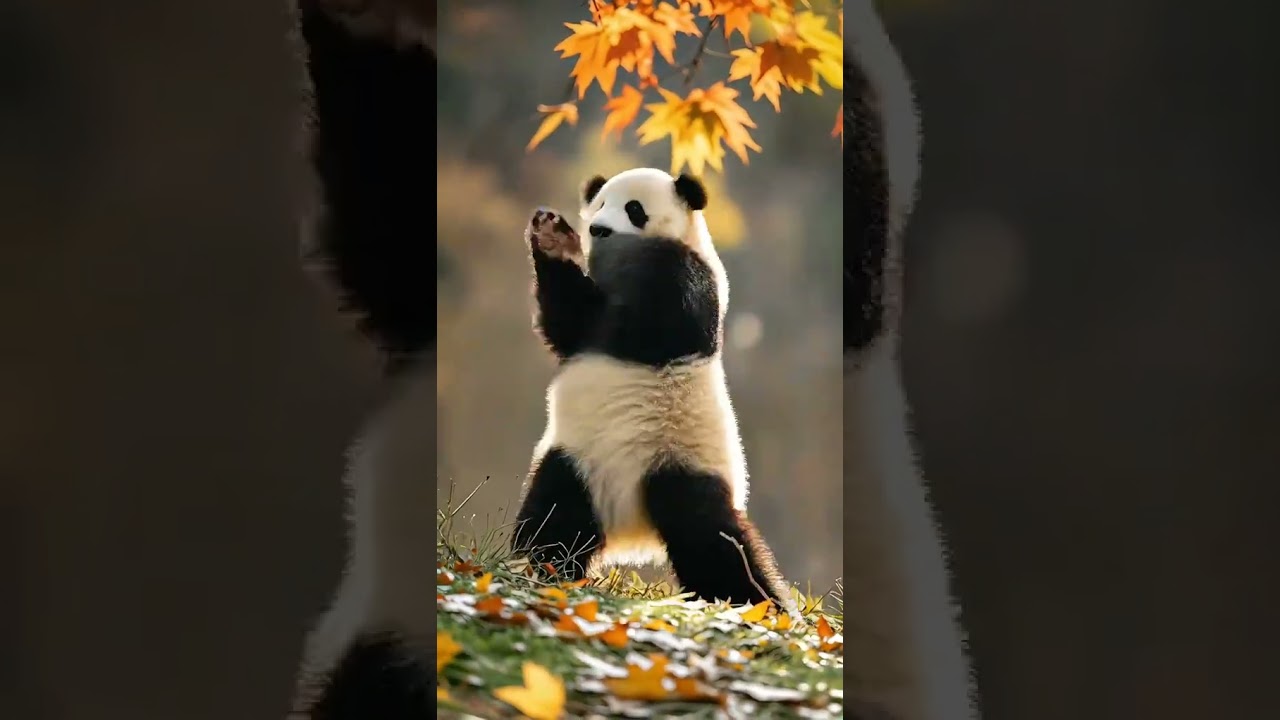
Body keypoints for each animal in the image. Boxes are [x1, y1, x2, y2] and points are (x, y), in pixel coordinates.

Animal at [510, 168, 791, 609]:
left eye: (634, 209)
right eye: (600, 204)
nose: (599, 229)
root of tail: (629, 525)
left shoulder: (688, 281)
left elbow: (642, 325)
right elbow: (569, 325)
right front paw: (552, 235)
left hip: (679, 464)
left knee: (711, 540)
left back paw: (760, 604)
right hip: (576, 462)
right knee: (554, 517)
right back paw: (551, 570)